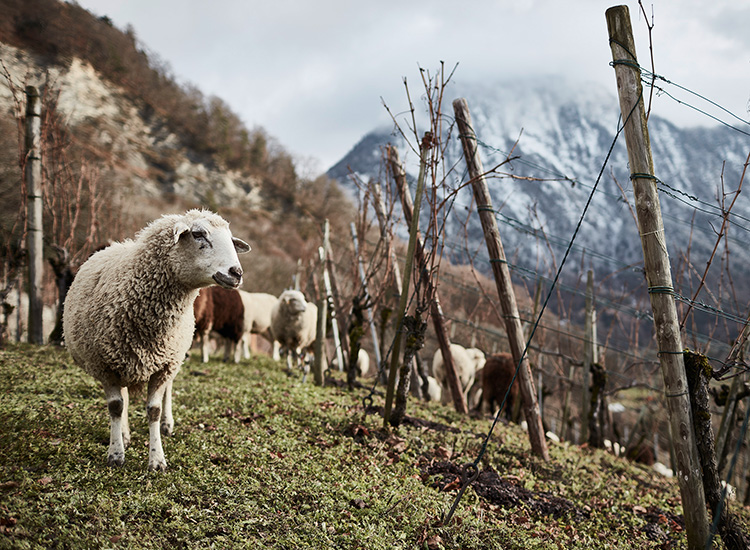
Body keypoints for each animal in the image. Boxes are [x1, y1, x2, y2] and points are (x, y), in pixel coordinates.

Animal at [62, 209, 250, 472]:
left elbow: (154, 410)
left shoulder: (164, 365)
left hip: (172, 358)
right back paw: (125, 434)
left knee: (166, 391)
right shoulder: (104, 365)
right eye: (198, 234)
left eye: (232, 240)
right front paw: (116, 454)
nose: (237, 273)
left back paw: (166, 426)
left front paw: (157, 459)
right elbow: (116, 406)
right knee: (124, 398)